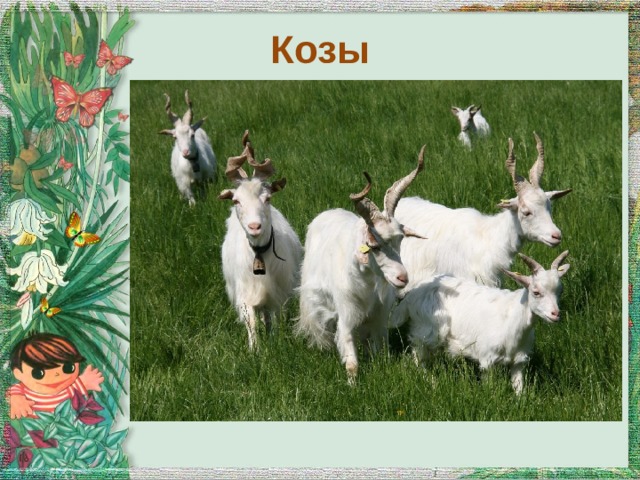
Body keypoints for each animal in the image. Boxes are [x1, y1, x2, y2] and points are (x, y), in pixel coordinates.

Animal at [219, 131, 303, 350]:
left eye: (267, 198)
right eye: (236, 200)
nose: (254, 226)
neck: (259, 253)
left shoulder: (278, 293)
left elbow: (276, 318)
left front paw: (277, 342)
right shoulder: (245, 295)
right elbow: (251, 322)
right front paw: (255, 350)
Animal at [295, 147, 426, 383]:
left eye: (400, 239)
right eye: (374, 245)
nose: (402, 277)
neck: (367, 284)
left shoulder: (379, 317)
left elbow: (381, 350)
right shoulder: (346, 315)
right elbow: (351, 362)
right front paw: (352, 384)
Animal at [393, 250, 570, 394]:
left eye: (560, 291)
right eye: (536, 292)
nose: (555, 314)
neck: (513, 319)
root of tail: (413, 294)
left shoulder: (519, 360)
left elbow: (519, 389)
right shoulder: (488, 359)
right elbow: (489, 387)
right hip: (425, 329)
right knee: (418, 356)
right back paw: (430, 381)